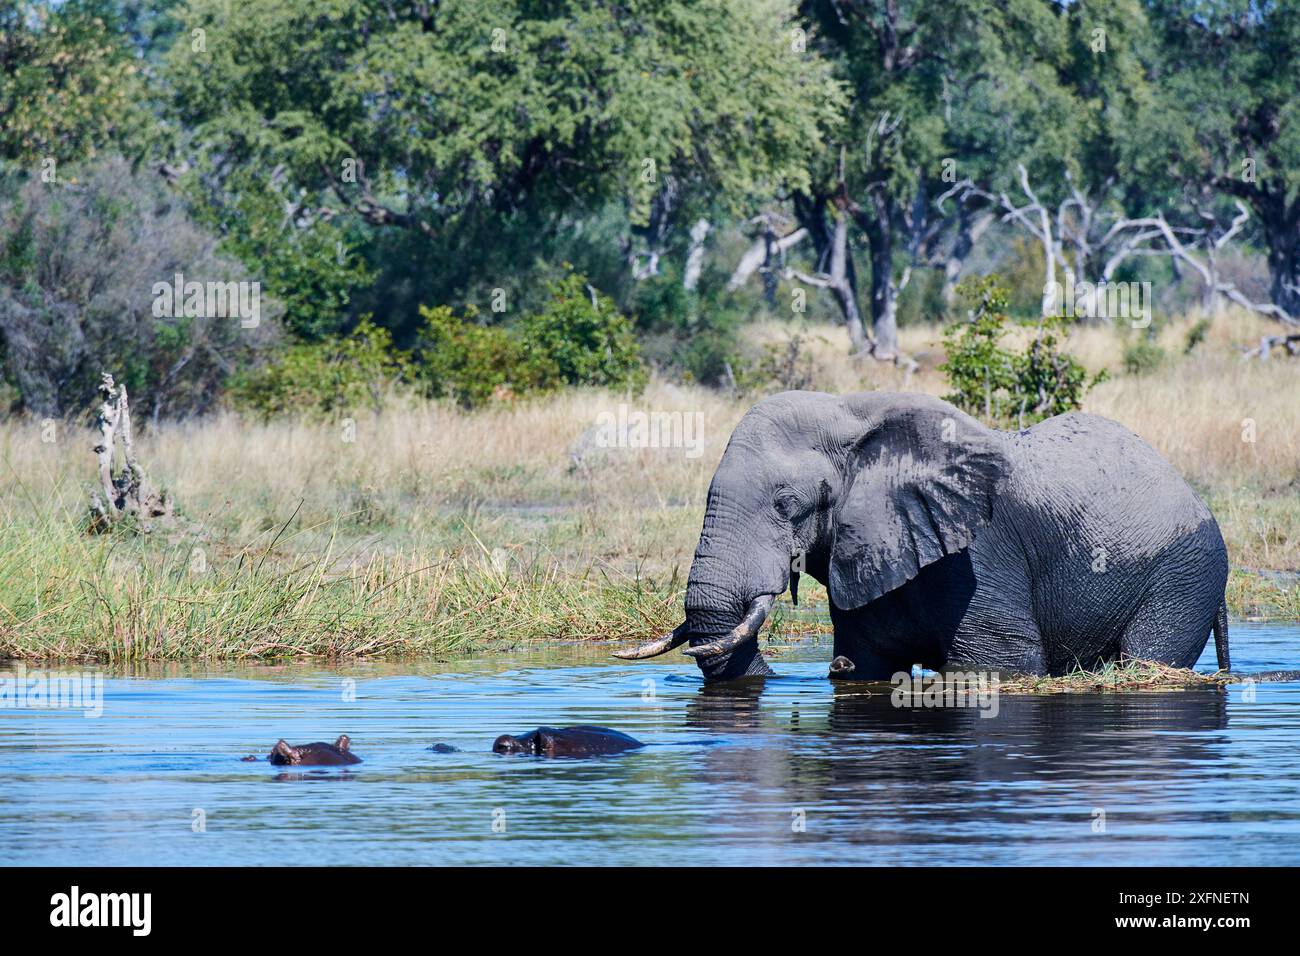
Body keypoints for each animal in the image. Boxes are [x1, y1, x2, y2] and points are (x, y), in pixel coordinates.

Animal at [615, 391, 1230, 683]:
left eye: (787, 505)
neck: (855, 416)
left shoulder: (981, 553)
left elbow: (999, 666)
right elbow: (865, 662)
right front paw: (846, 669)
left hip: (1186, 572)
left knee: (1149, 657)